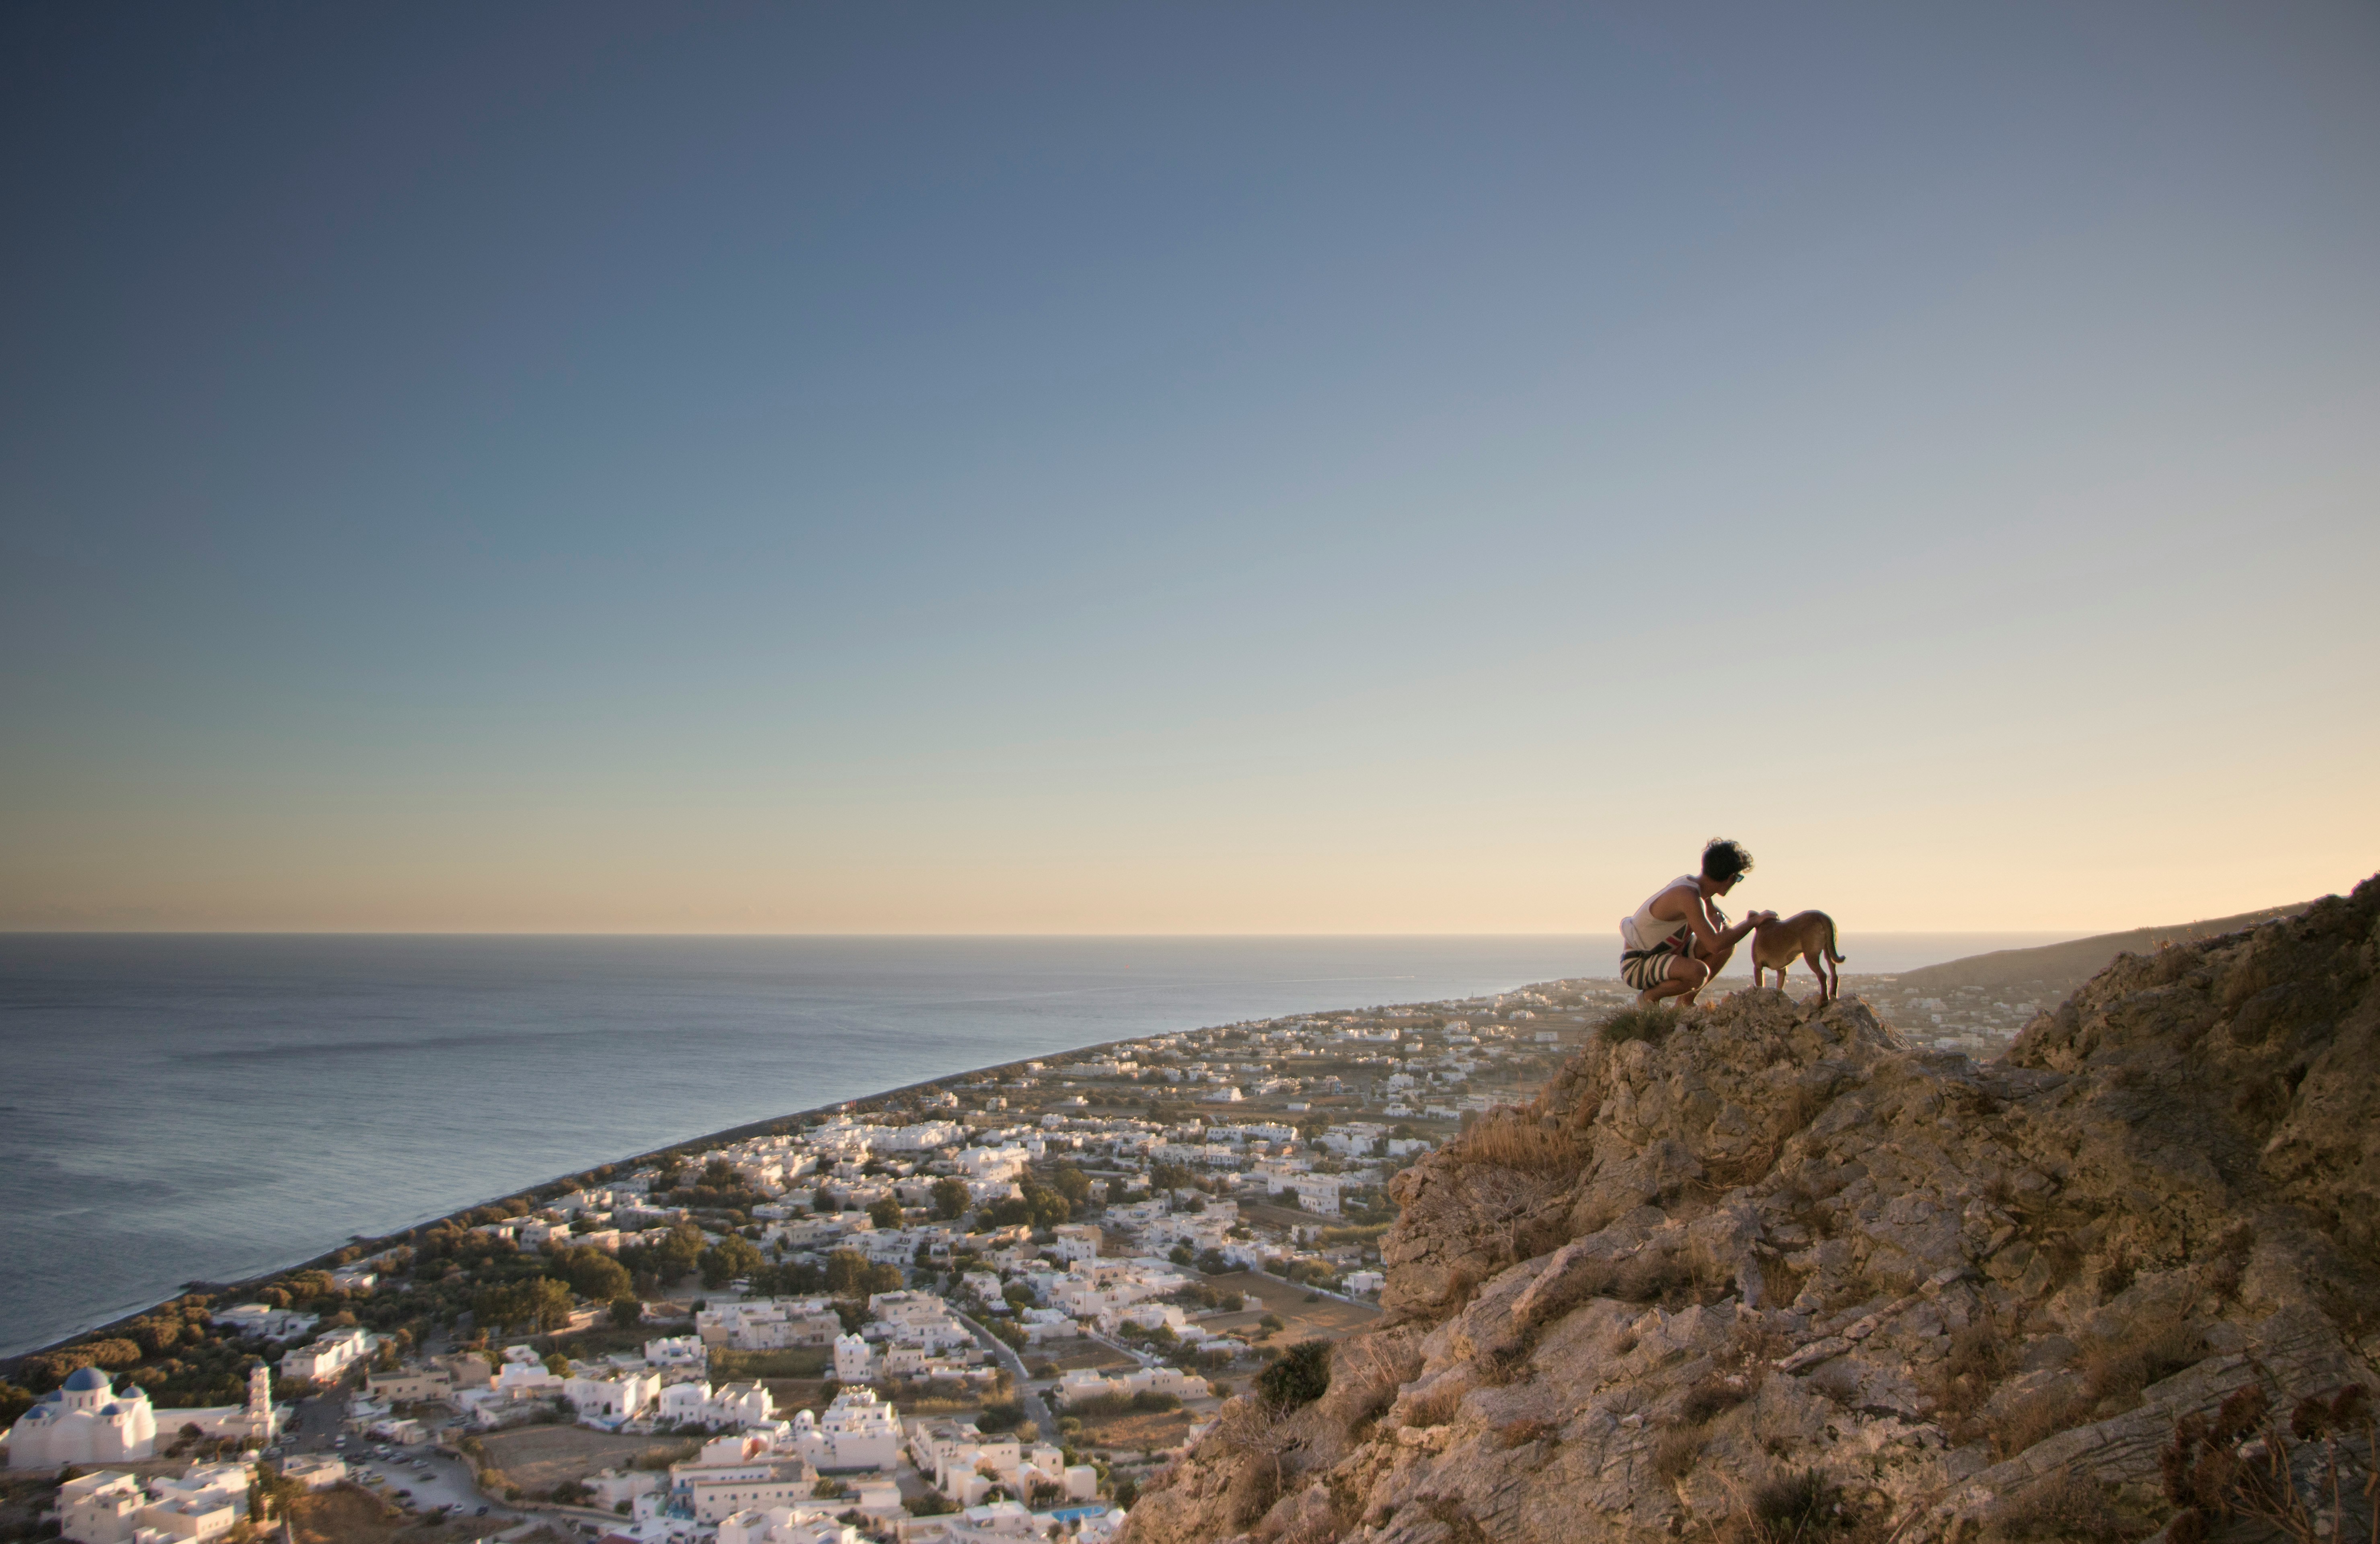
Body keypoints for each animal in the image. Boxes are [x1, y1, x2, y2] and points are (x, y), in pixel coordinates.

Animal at [1752, 913, 1837, 999]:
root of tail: (1822, 916)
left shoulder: (1758, 967)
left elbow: (1760, 985)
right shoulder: (1781, 970)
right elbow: (1779, 987)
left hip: (1810, 955)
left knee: (1822, 975)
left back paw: (1823, 1000)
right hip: (1827, 949)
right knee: (1833, 971)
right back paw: (1832, 994)